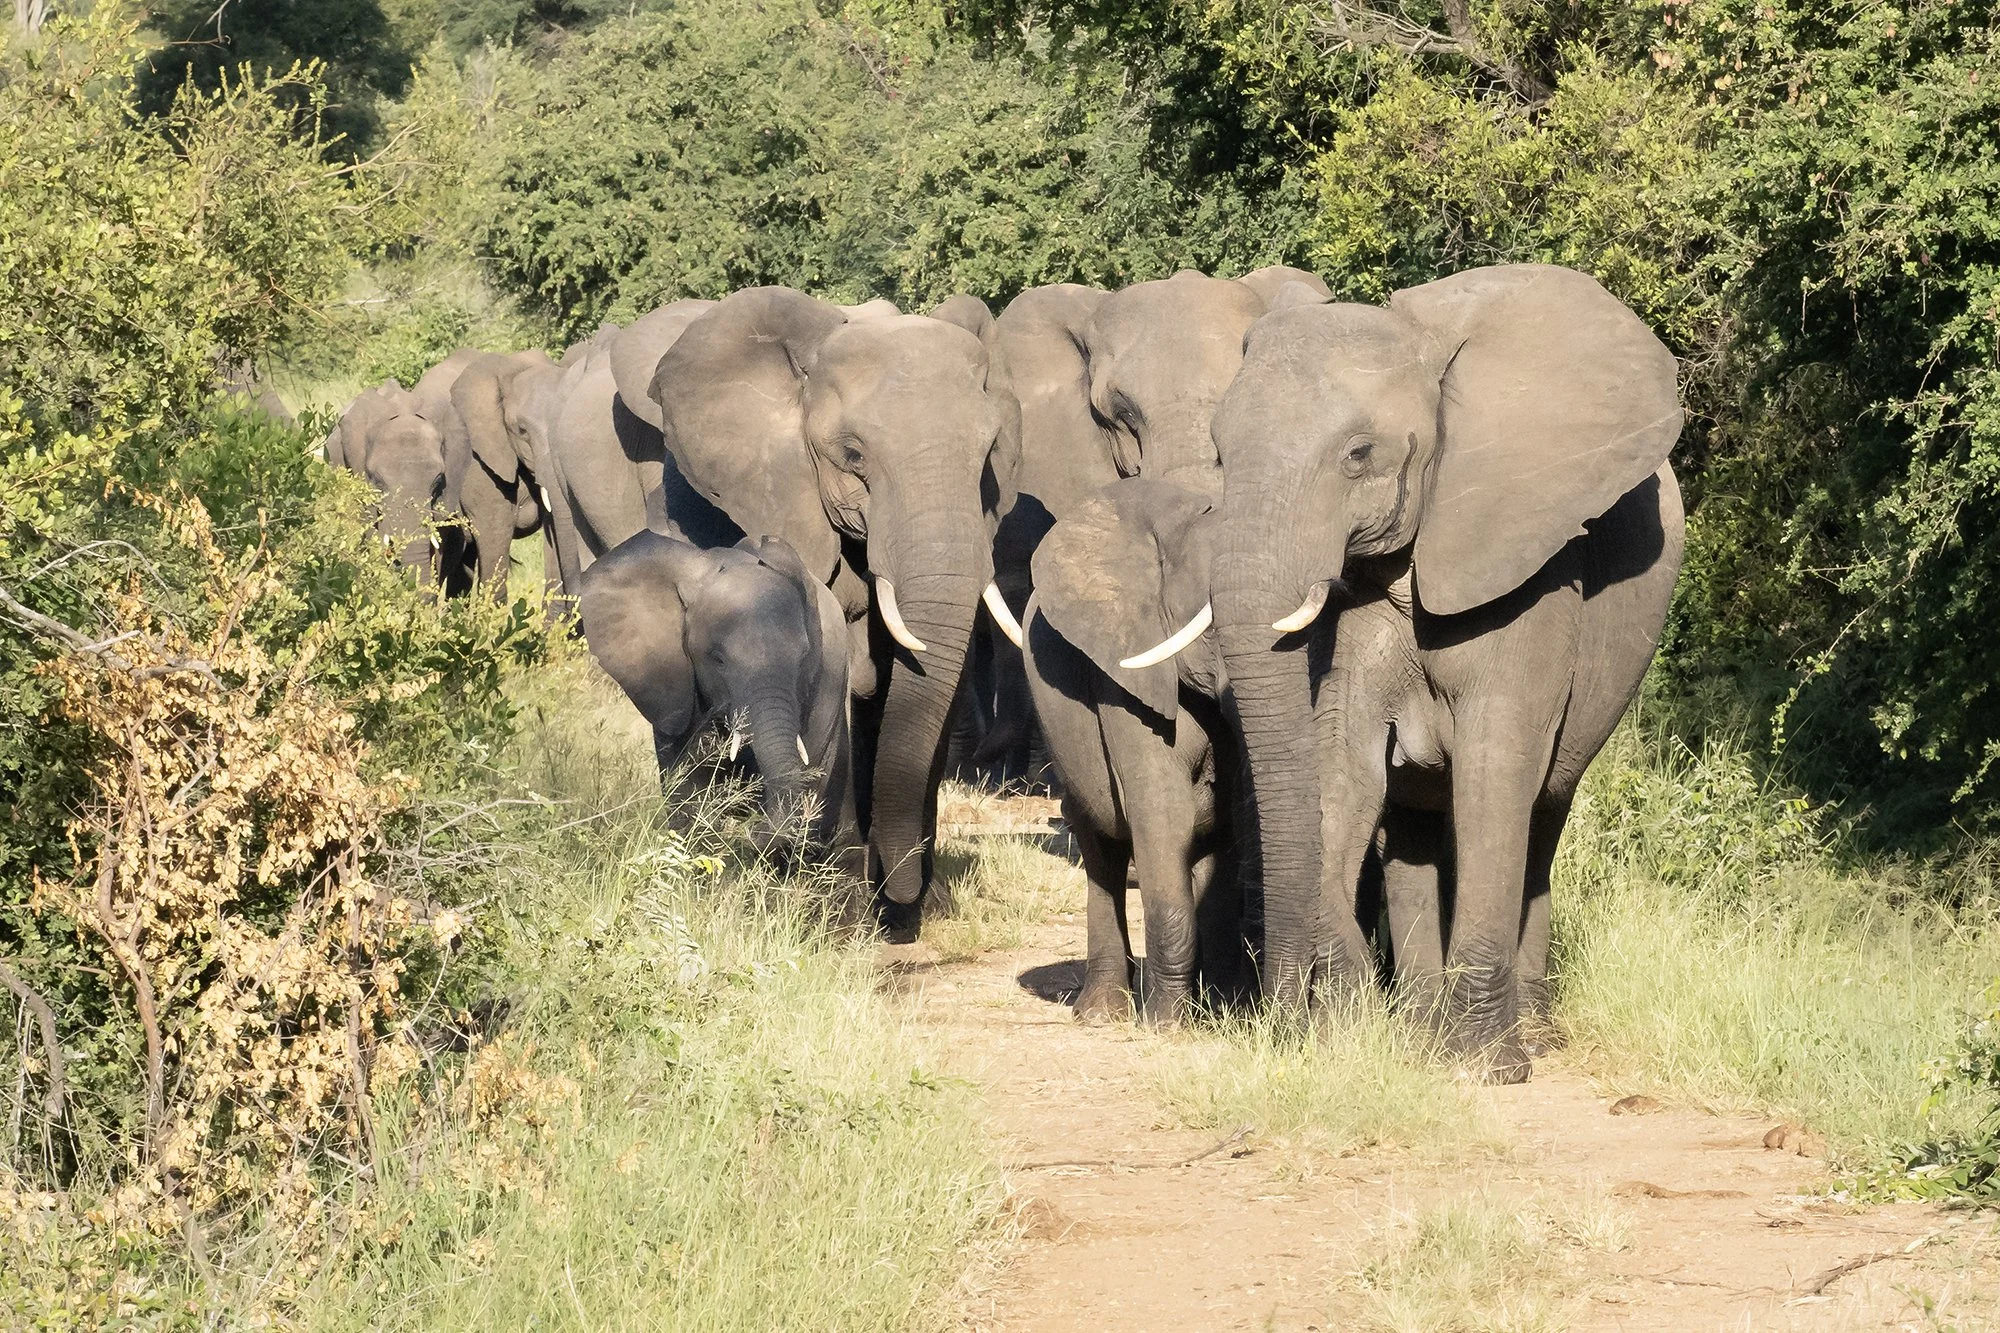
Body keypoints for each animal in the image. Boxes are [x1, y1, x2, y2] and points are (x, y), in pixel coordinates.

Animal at [1023, 473, 1246, 1025]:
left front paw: (1218, 1013)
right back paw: (1102, 1012)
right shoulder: (1122, 673)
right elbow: (1164, 812)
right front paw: (1166, 1022)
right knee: (1101, 848)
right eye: (1213, 624)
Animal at [1185, 262, 1684, 1081]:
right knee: (1412, 825)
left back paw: (1523, 1031)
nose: (1281, 1021)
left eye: (1359, 453)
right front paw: (1361, 1022)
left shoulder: (1530, 568)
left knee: (1543, 811)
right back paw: (1419, 1027)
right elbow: (1344, 769)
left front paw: (1485, 1066)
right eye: (1221, 454)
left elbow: (1496, 765)